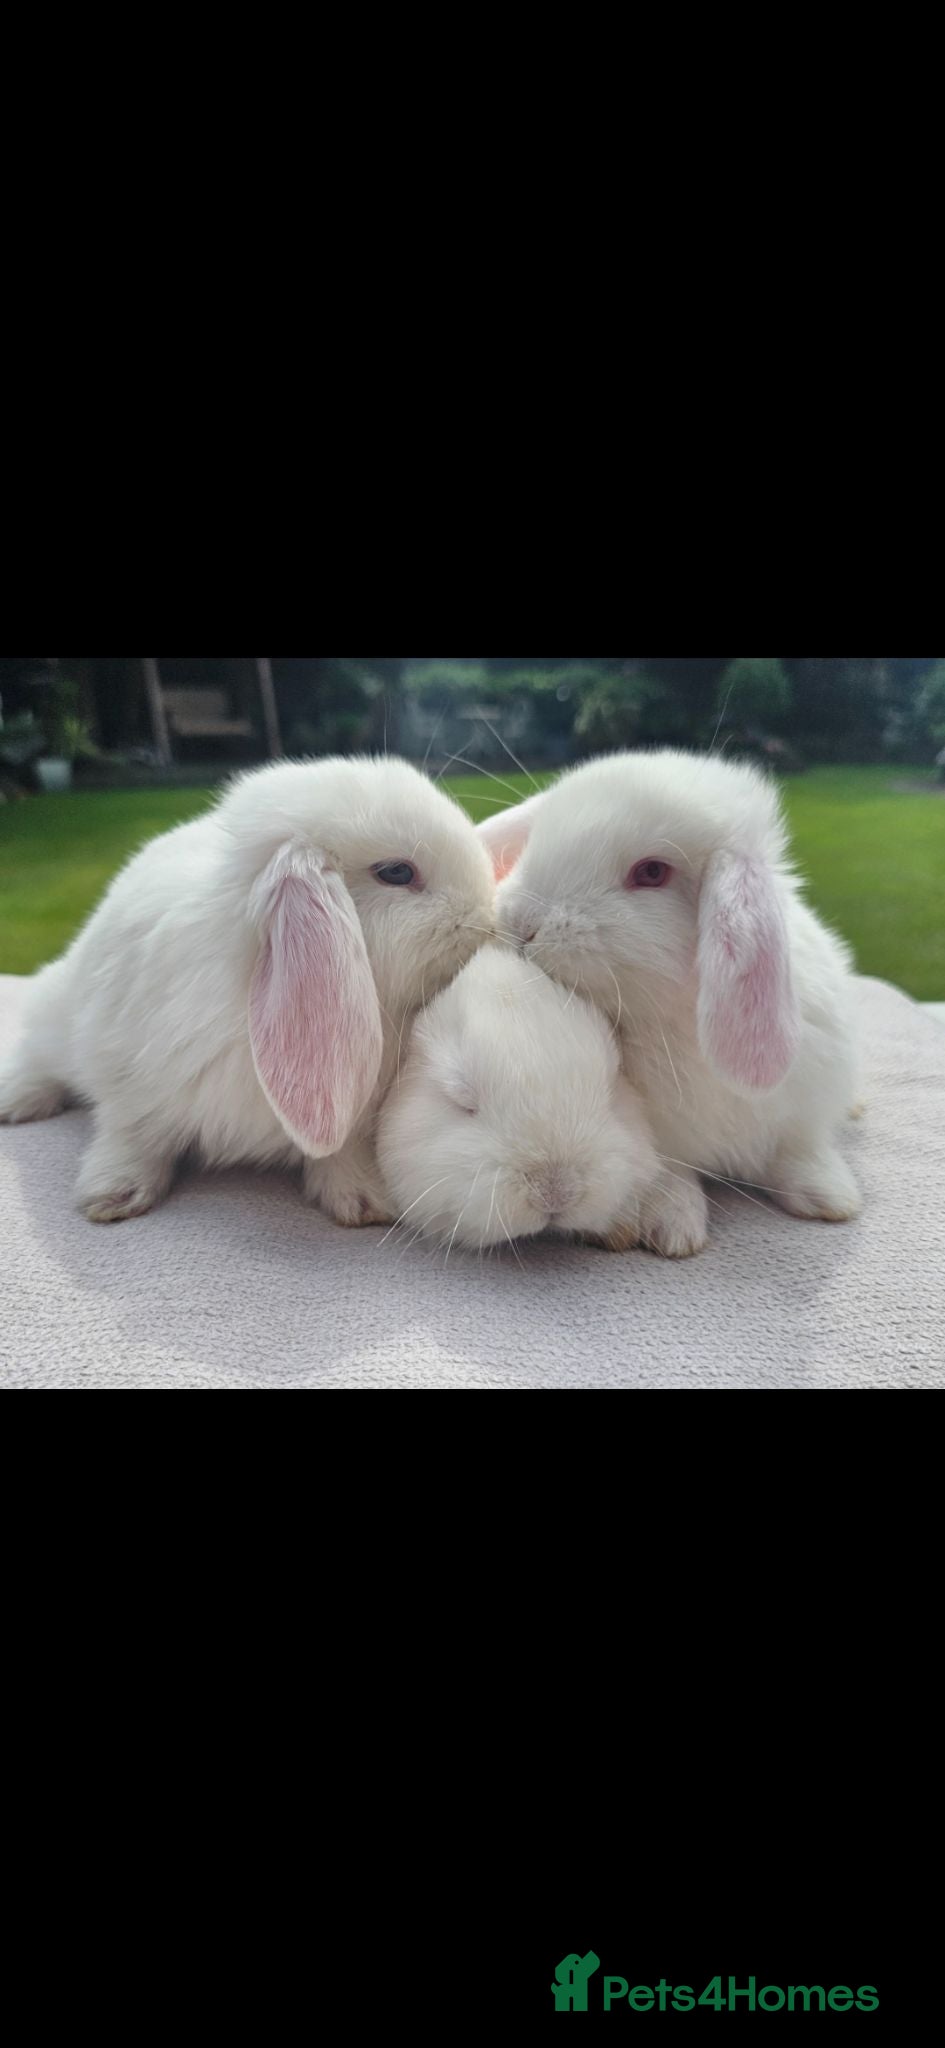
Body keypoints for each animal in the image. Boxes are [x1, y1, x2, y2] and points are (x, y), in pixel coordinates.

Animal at [0, 757, 496, 1224]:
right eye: (396, 872)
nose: (486, 918)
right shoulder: (129, 1081)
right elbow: (133, 1134)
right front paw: (113, 1194)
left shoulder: (354, 1114)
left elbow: (339, 1151)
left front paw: (364, 1200)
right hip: (56, 1017)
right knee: (35, 1058)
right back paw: (16, 1102)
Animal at [476, 751, 862, 1255]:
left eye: (652, 873)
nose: (521, 923)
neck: (675, 1021)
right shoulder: (655, 1136)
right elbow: (670, 1174)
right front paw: (672, 1228)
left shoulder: (803, 1107)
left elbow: (799, 1149)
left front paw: (831, 1197)